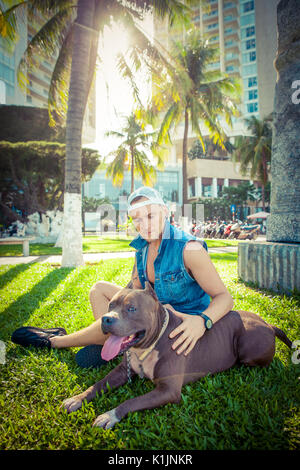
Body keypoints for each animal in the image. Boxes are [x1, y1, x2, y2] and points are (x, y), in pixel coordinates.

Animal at [62, 280, 290, 428]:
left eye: (132, 308)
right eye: (111, 305)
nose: (106, 319)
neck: (150, 344)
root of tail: (269, 324)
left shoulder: (168, 391)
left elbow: (132, 401)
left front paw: (110, 415)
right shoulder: (121, 372)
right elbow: (99, 384)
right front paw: (77, 398)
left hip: (247, 345)